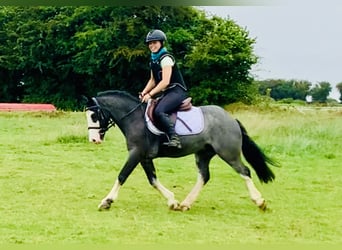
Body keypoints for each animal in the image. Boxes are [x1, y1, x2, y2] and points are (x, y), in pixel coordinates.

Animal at [85, 90, 278, 211]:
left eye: (94, 116)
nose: (94, 140)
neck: (134, 118)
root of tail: (231, 119)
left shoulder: (136, 153)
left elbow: (122, 176)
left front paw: (106, 201)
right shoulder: (145, 157)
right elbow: (153, 180)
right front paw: (172, 201)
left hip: (228, 153)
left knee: (244, 171)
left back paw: (259, 201)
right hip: (203, 153)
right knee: (204, 176)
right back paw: (186, 203)